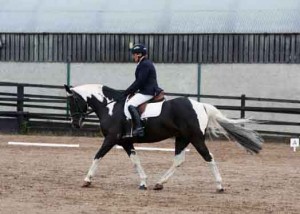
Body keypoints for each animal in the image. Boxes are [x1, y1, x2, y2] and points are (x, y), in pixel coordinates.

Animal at [65, 84, 262, 192]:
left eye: (73, 101)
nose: (75, 123)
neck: (110, 107)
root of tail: (201, 105)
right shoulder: (125, 142)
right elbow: (135, 161)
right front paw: (143, 182)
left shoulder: (112, 139)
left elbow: (97, 156)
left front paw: (87, 180)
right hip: (182, 138)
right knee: (178, 160)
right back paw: (159, 183)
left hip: (196, 138)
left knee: (209, 157)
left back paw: (220, 186)